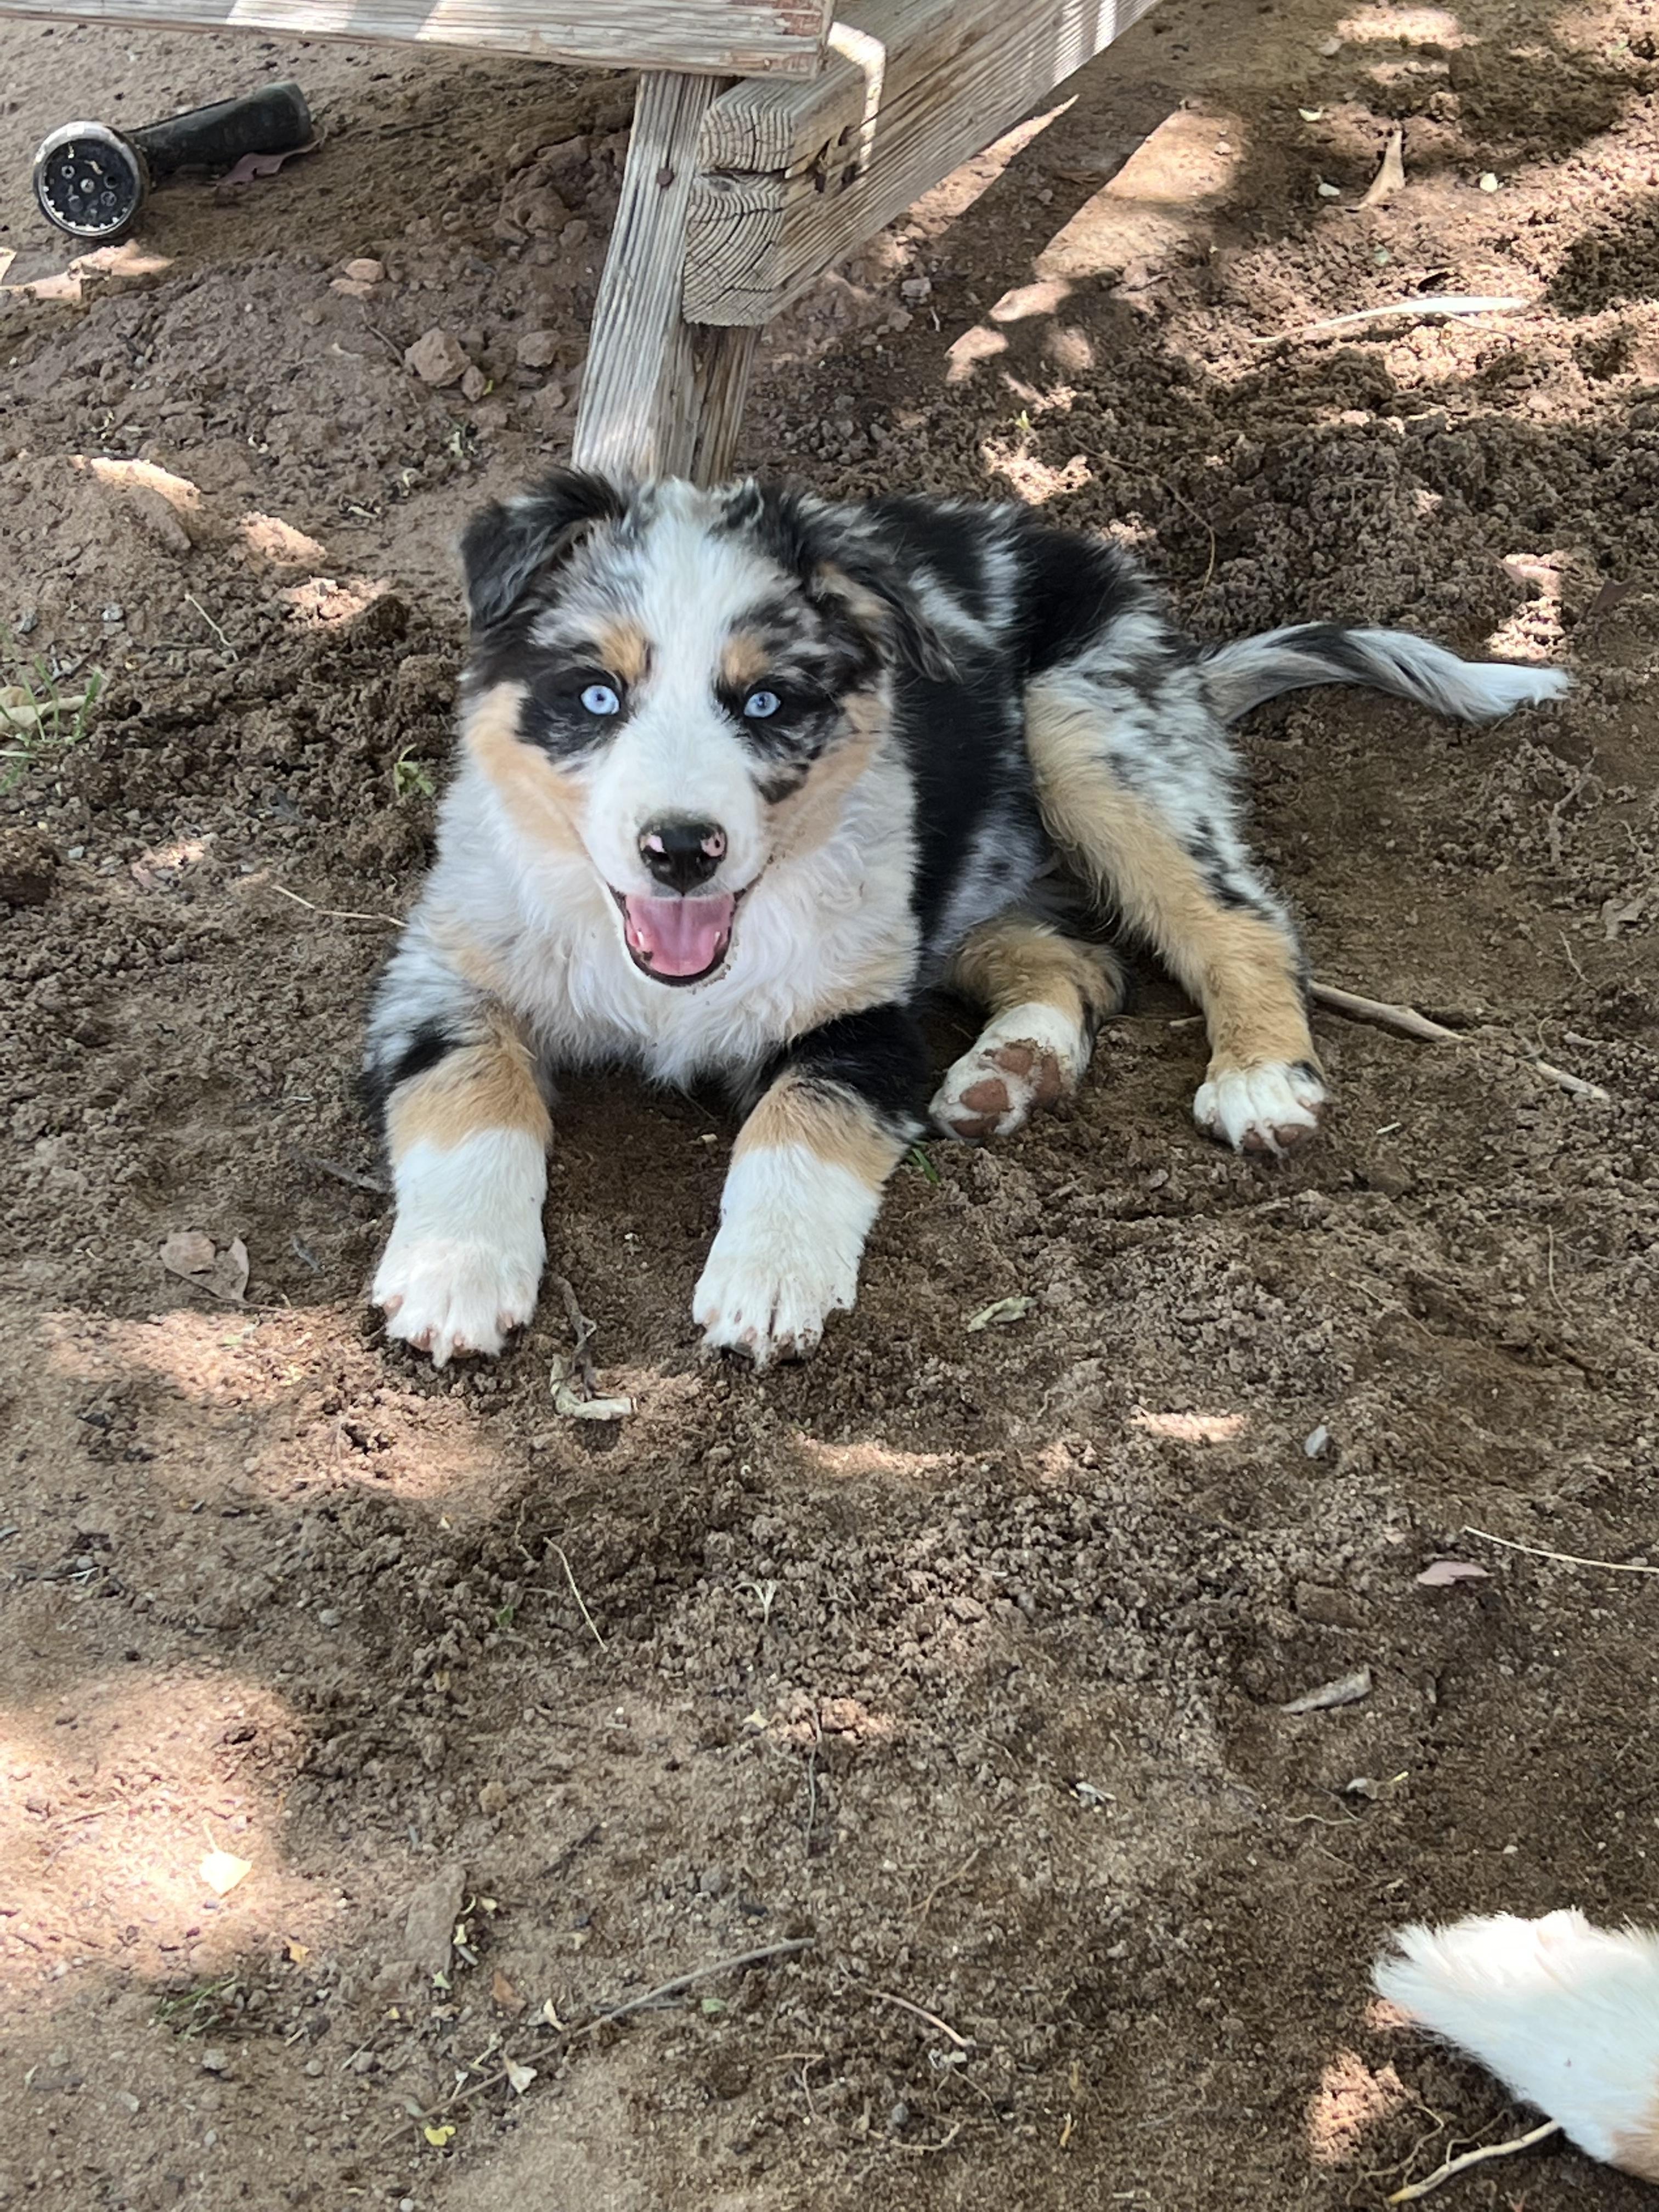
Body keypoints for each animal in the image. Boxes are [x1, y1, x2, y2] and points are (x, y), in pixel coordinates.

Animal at [363, 471, 1568, 1368]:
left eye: (767, 702)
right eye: (596, 696)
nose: (681, 848)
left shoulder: (858, 1017)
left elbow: (796, 1124)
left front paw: (767, 1282)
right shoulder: (437, 975)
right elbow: (472, 1091)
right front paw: (454, 1274)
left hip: (1084, 727)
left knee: (1240, 921)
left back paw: (1261, 1079)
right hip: (961, 876)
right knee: (1082, 962)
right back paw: (1011, 1070)